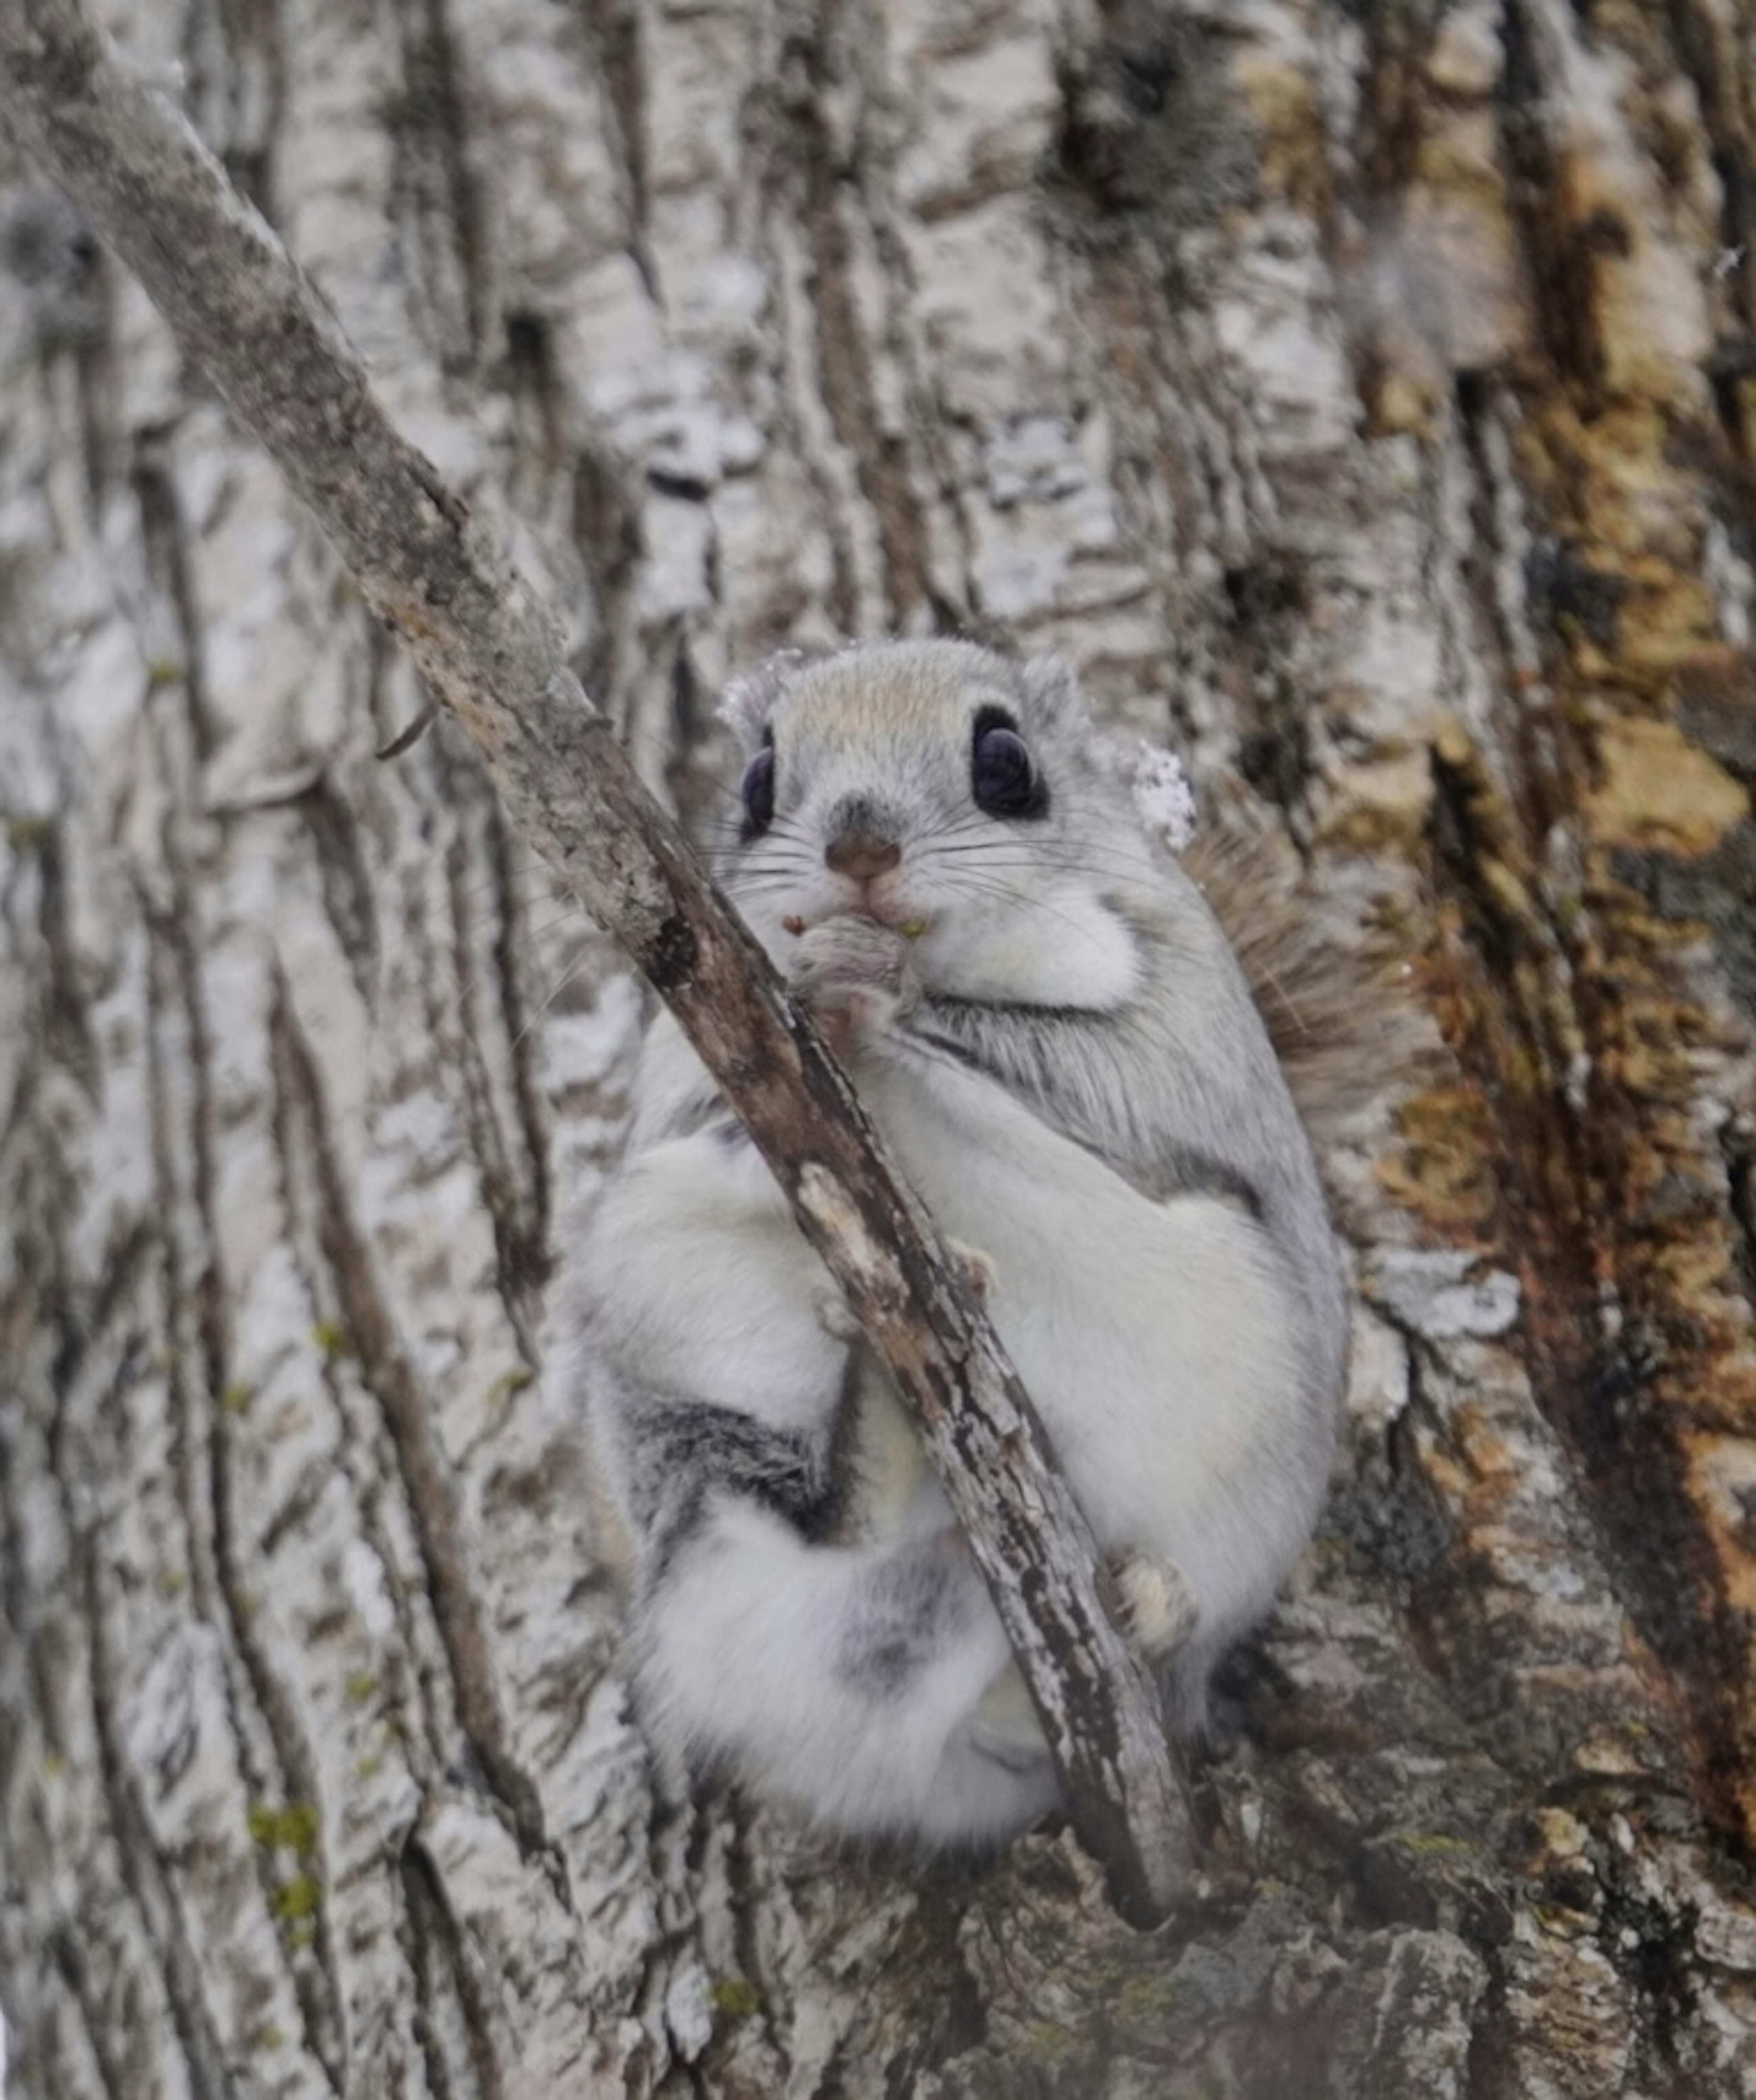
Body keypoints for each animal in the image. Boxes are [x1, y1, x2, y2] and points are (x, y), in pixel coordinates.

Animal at [554, 642, 1353, 1856]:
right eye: (757, 782)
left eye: (1006, 762)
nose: (858, 852)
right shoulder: (673, 1074)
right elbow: (695, 1104)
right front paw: (826, 985)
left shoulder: (1181, 1019)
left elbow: (1105, 1075)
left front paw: (873, 996)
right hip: (656, 1287)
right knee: (824, 1522)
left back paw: (1150, 1602)